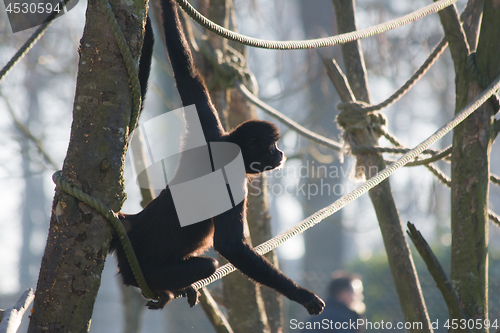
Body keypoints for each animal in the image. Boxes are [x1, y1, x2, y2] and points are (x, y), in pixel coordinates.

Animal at [109, 0, 324, 314]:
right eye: (272, 145)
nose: (281, 153)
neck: (229, 146)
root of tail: (132, 226)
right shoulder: (231, 178)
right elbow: (230, 246)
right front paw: (303, 295)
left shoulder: (210, 131)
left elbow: (187, 75)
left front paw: (167, 7)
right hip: (146, 269)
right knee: (207, 264)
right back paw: (166, 289)